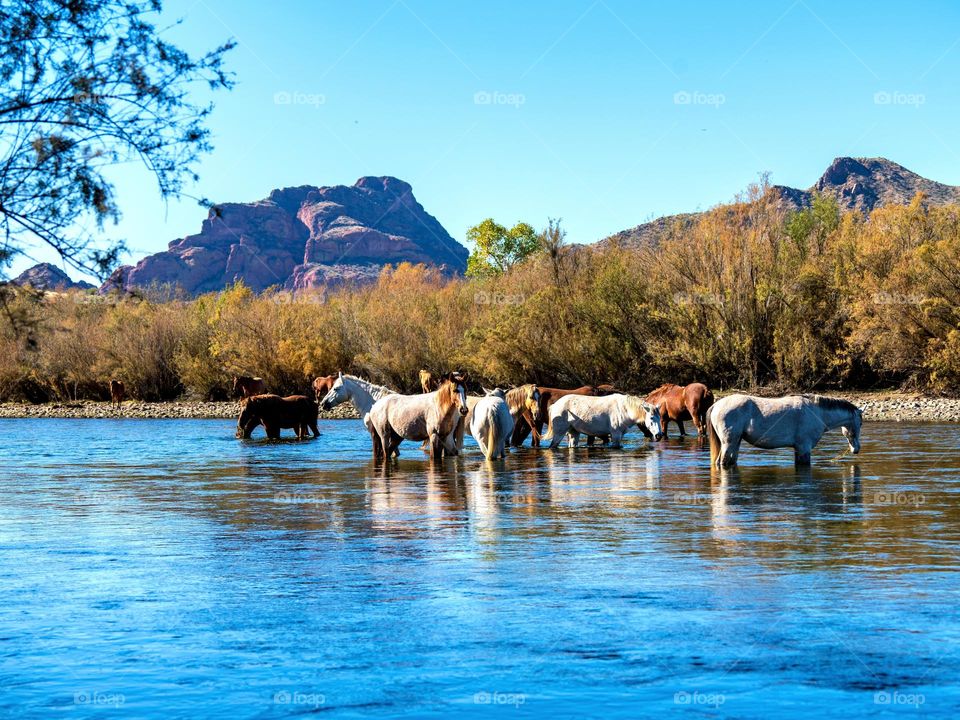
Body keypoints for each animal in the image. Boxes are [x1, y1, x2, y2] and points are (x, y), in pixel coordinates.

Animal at [707, 394, 863, 468]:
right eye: (860, 423)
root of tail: (715, 405)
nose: (856, 449)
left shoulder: (798, 449)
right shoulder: (804, 448)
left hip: (735, 442)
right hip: (728, 443)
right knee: (723, 462)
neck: (817, 412)